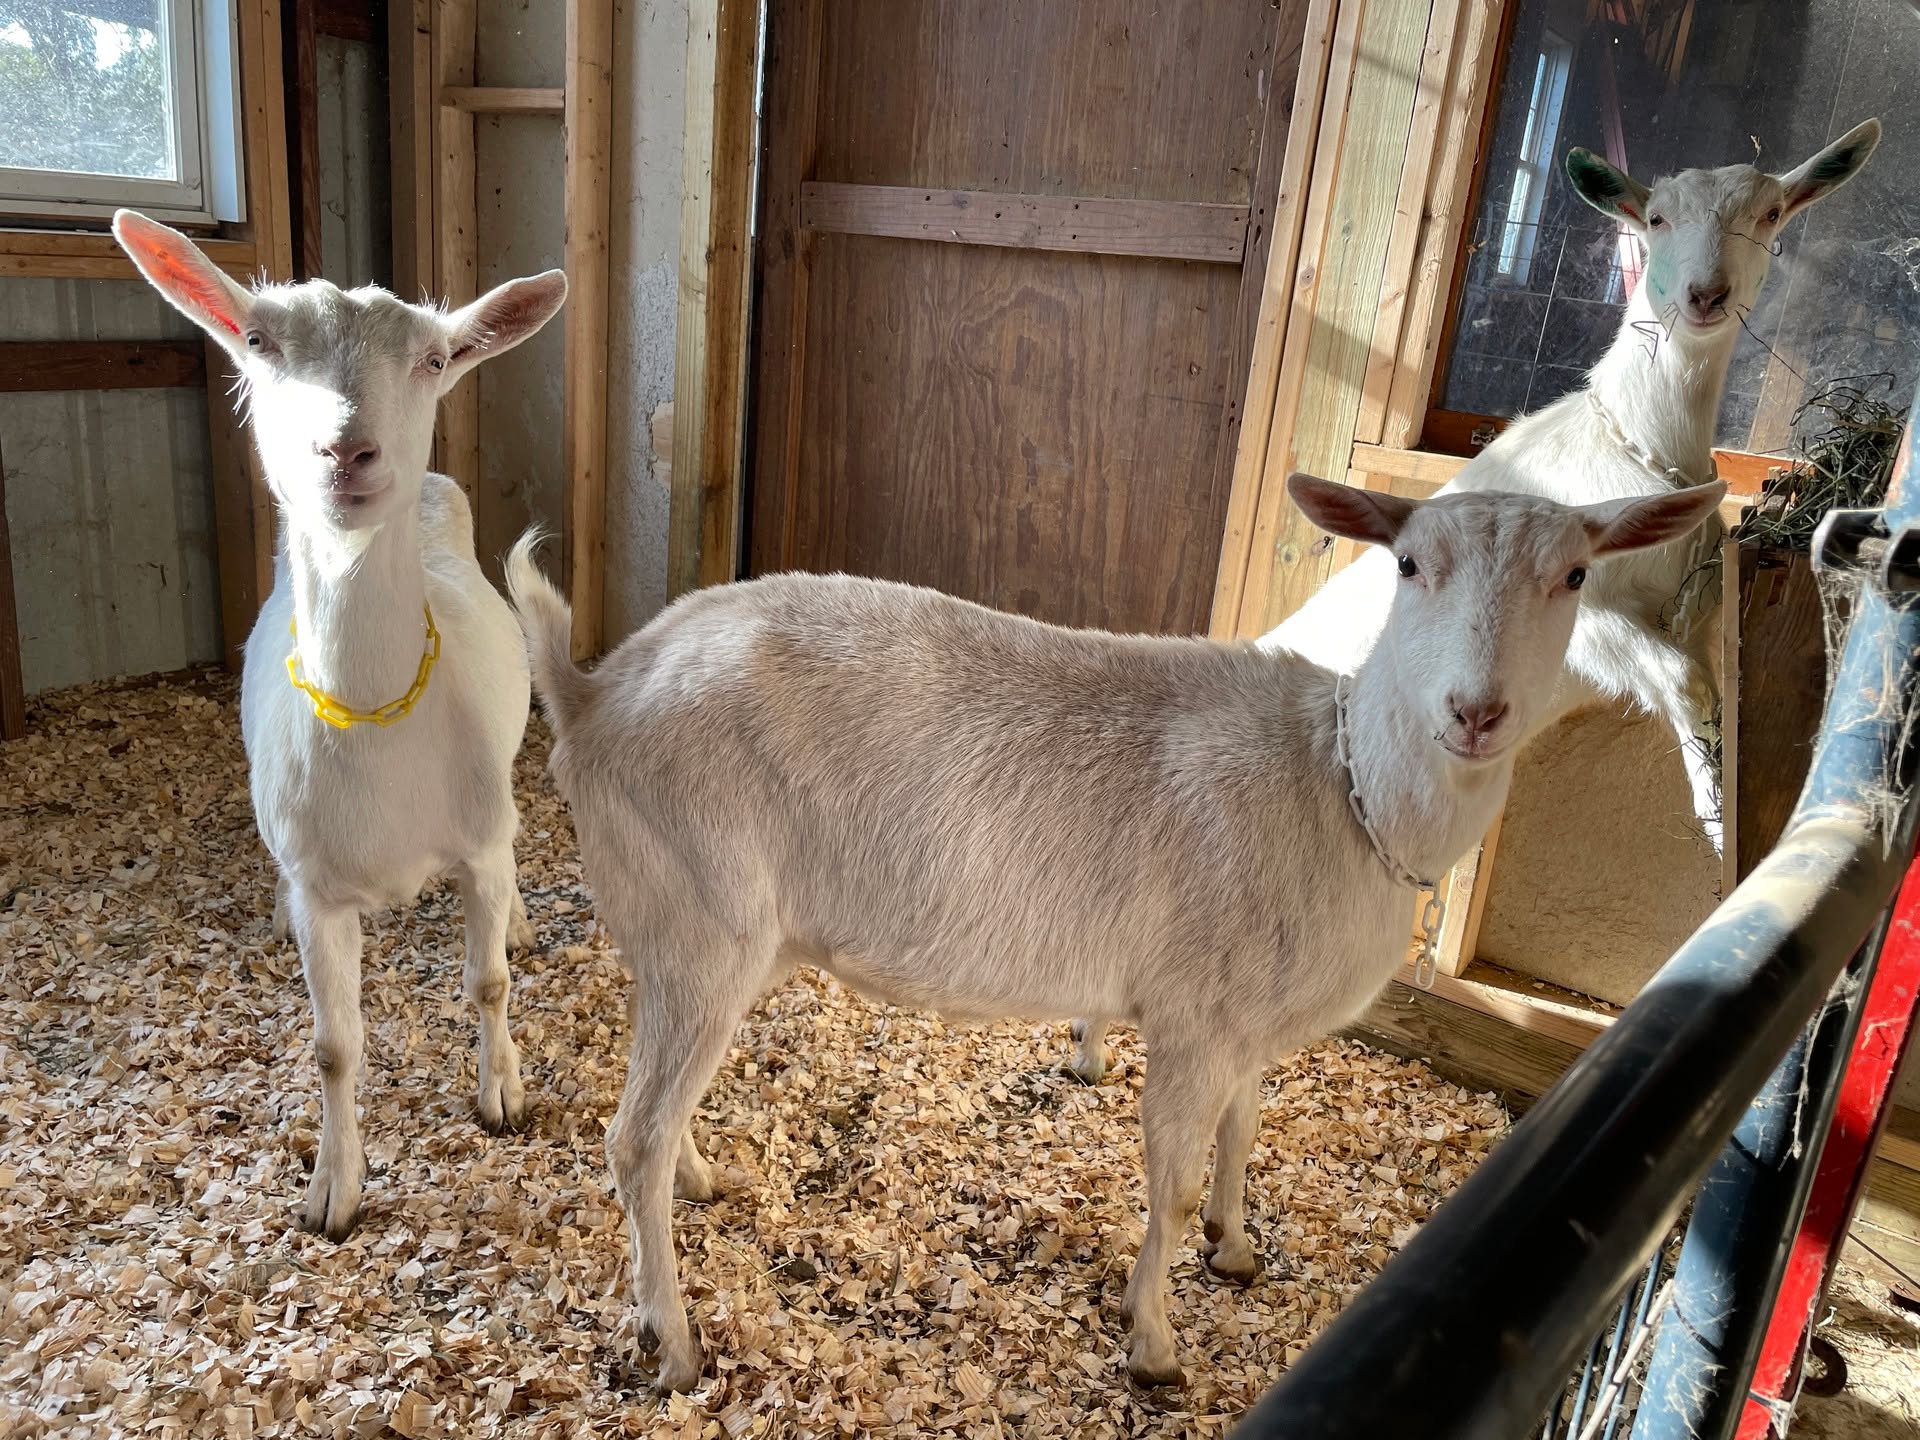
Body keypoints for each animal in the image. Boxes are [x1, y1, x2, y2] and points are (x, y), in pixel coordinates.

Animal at [113, 211, 568, 1240]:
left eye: (434, 359)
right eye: (257, 339)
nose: (346, 452)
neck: (378, 724)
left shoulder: (479, 837)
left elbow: (488, 982)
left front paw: (502, 1095)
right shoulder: (316, 883)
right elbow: (332, 1045)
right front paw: (335, 1188)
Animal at [506, 474, 1725, 1389]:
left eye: (1575, 573)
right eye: (1409, 565)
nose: (1476, 712)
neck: (1339, 788)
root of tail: (592, 692)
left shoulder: (1248, 1020)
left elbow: (1243, 1135)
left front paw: (1237, 1249)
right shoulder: (1196, 1016)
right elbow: (1173, 1182)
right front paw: (1155, 1343)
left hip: (684, 938)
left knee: (662, 1108)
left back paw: (704, 1185)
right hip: (700, 912)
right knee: (632, 1136)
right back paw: (672, 1342)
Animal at [1069, 118, 1882, 1087]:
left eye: (1770, 213)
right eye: (1654, 215)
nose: (1704, 295)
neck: (1636, 447)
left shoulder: (1681, 603)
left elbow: (1703, 679)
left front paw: (1723, 809)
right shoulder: (1591, 625)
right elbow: (1684, 681)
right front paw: (1719, 824)